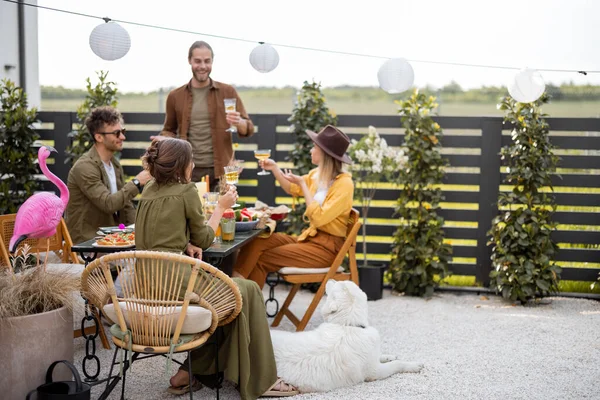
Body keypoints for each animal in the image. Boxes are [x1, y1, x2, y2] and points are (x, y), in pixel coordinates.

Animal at [270, 280, 424, 392]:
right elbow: (397, 364)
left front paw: (390, 356)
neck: (347, 324)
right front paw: (413, 365)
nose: (330, 279)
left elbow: (383, 356)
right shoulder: (375, 372)